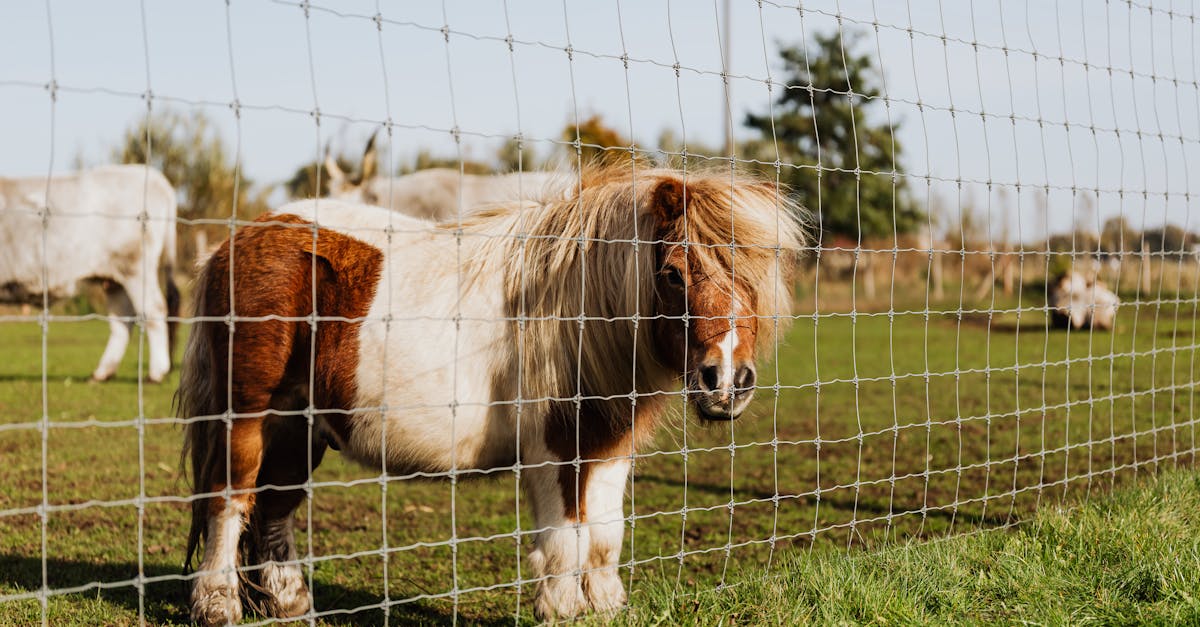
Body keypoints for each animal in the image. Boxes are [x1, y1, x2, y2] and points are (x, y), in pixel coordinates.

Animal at [0, 164, 180, 379]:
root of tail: (153, 175)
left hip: (135, 267)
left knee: (154, 309)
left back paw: (156, 373)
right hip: (115, 279)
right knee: (122, 319)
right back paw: (102, 373)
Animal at [180, 164, 806, 619]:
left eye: (757, 277)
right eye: (673, 274)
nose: (727, 382)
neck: (580, 311)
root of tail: (239, 239)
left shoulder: (609, 446)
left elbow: (604, 535)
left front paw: (606, 608)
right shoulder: (555, 448)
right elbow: (564, 539)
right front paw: (562, 609)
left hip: (296, 423)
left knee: (275, 508)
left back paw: (289, 602)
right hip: (246, 417)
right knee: (229, 500)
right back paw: (217, 606)